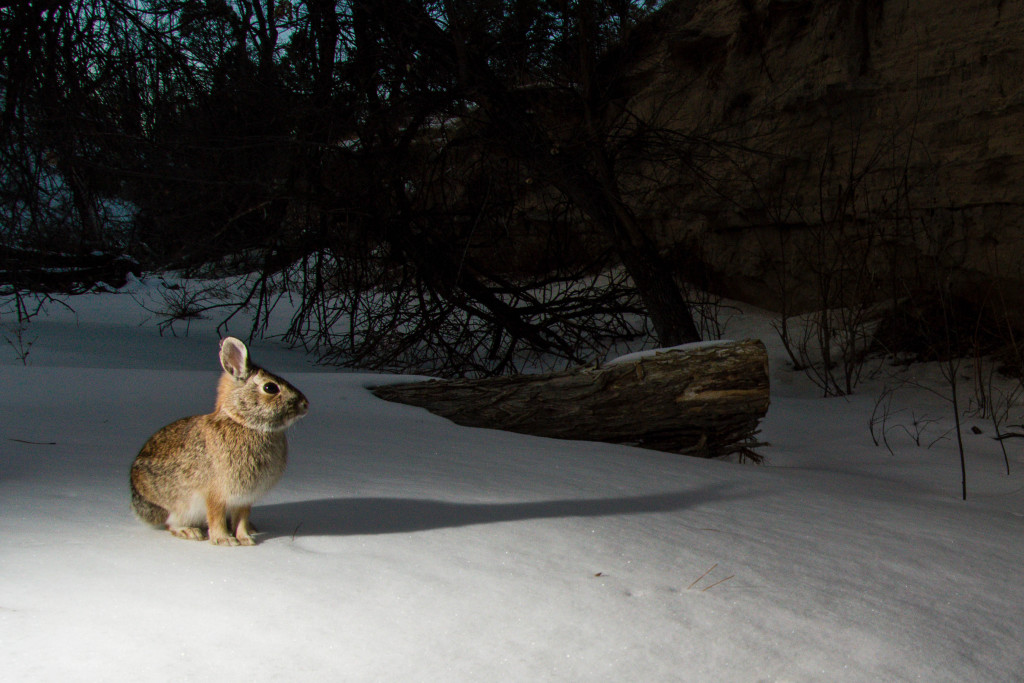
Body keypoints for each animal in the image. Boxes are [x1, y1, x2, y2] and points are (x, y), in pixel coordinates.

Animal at [128, 333, 305, 548]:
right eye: (270, 387)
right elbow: (216, 516)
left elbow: (242, 519)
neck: (243, 422)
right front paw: (225, 541)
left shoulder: (244, 499)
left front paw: (246, 539)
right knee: (172, 523)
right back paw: (190, 532)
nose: (305, 404)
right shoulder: (216, 494)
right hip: (177, 506)